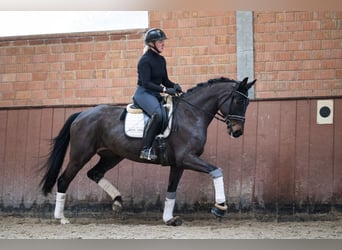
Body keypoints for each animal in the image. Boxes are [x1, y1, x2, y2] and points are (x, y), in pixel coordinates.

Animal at [40, 76, 255, 225]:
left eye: (247, 103)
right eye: (238, 101)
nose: (237, 132)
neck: (192, 114)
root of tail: (82, 113)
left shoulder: (179, 163)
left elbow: (171, 190)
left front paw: (169, 219)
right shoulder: (187, 158)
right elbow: (216, 170)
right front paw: (220, 208)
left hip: (112, 155)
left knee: (94, 173)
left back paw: (117, 201)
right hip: (80, 155)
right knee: (64, 179)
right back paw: (61, 217)